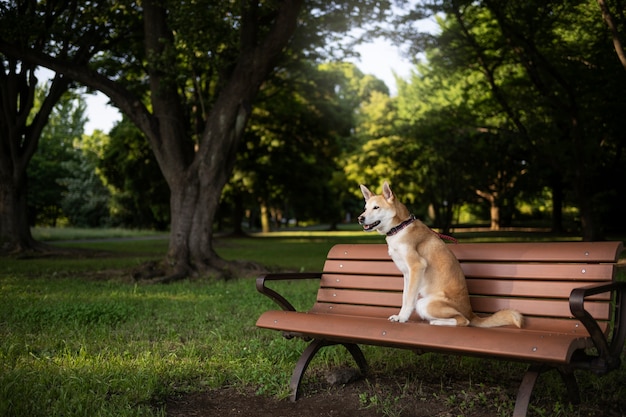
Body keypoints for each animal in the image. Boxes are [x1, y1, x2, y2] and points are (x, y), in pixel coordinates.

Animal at [356, 182, 520, 328]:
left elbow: (409, 299)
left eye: (376, 207)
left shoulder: (417, 266)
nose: (360, 218)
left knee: (463, 321)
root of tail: (472, 313)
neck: (399, 227)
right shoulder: (407, 274)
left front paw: (402, 318)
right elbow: (405, 297)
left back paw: (437, 322)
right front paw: (400, 315)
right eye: (365, 208)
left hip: (425, 303)